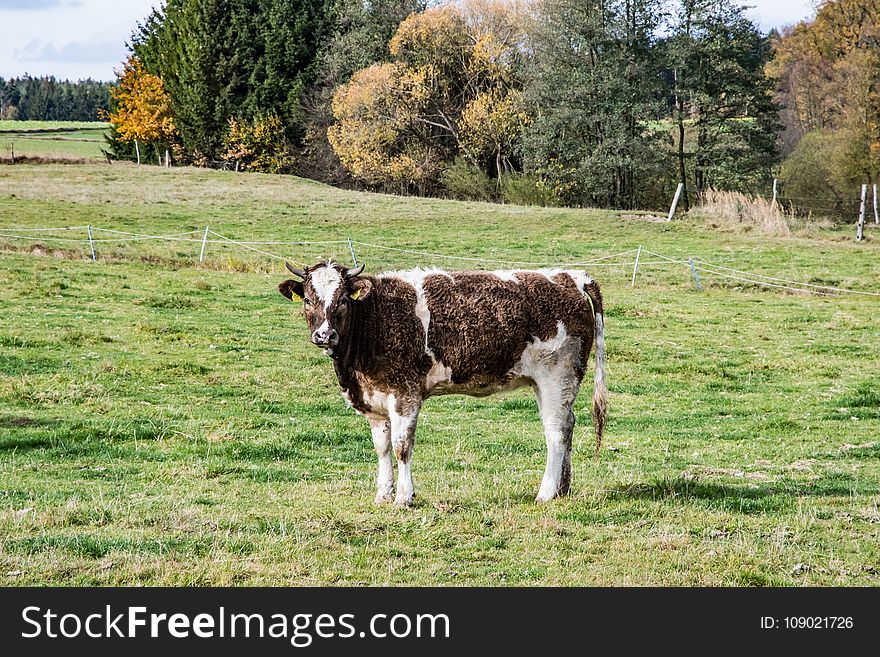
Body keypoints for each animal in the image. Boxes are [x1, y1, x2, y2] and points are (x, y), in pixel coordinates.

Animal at [280, 258, 604, 504]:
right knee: (569, 425)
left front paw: (404, 497)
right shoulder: (374, 400)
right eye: (308, 300)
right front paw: (383, 495)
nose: (324, 335)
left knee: (556, 432)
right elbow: (382, 447)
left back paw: (546, 493)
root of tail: (571, 276)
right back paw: (563, 488)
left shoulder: (405, 394)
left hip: (556, 376)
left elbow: (401, 446)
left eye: (344, 300)